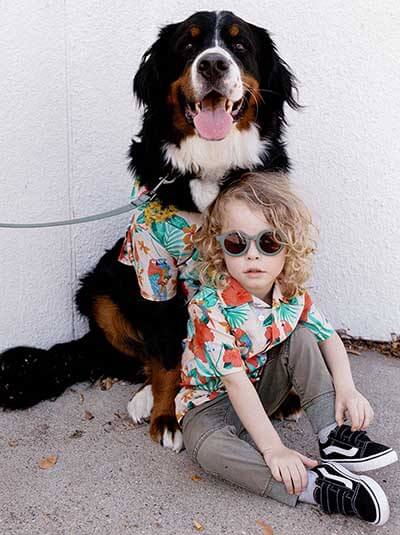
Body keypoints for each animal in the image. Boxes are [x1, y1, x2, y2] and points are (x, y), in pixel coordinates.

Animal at [0, 11, 298, 450]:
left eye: (239, 45)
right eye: (188, 45)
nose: (213, 64)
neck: (211, 162)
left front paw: (285, 393)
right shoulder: (153, 267)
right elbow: (166, 356)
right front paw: (166, 416)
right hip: (101, 288)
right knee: (137, 357)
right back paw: (144, 397)